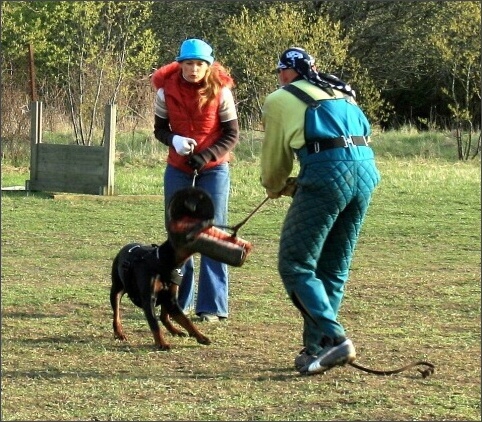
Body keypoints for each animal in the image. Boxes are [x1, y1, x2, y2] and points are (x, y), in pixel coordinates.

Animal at [110, 187, 216, 350]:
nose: (208, 225)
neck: (167, 262)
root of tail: (124, 248)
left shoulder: (172, 300)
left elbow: (186, 321)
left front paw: (201, 337)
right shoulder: (149, 300)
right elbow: (154, 323)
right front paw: (161, 343)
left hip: (167, 297)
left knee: (164, 316)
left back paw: (176, 331)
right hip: (116, 289)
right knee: (116, 315)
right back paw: (119, 333)